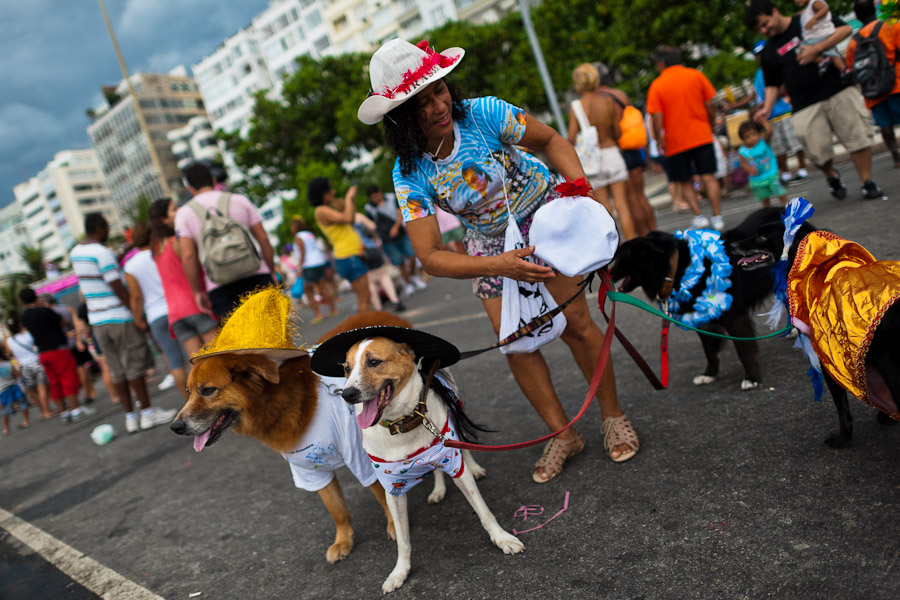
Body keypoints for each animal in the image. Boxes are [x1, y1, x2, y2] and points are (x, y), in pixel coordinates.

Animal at [310, 330, 524, 592]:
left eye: (374, 362)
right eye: (347, 369)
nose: (348, 395)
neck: (402, 423)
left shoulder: (454, 462)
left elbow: (484, 511)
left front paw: (502, 538)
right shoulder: (392, 489)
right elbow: (402, 540)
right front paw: (400, 572)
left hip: (454, 412)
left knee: (463, 445)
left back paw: (473, 468)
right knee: (437, 471)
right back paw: (438, 490)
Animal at [612, 213, 772, 392]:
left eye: (620, 260)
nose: (609, 273)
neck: (675, 270)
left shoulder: (734, 318)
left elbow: (744, 350)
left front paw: (752, 378)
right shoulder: (701, 319)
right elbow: (709, 351)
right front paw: (709, 374)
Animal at [728, 209, 896, 448]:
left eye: (762, 236)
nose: (732, 245)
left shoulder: (828, 360)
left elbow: (842, 406)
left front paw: (843, 438)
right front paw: (885, 417)